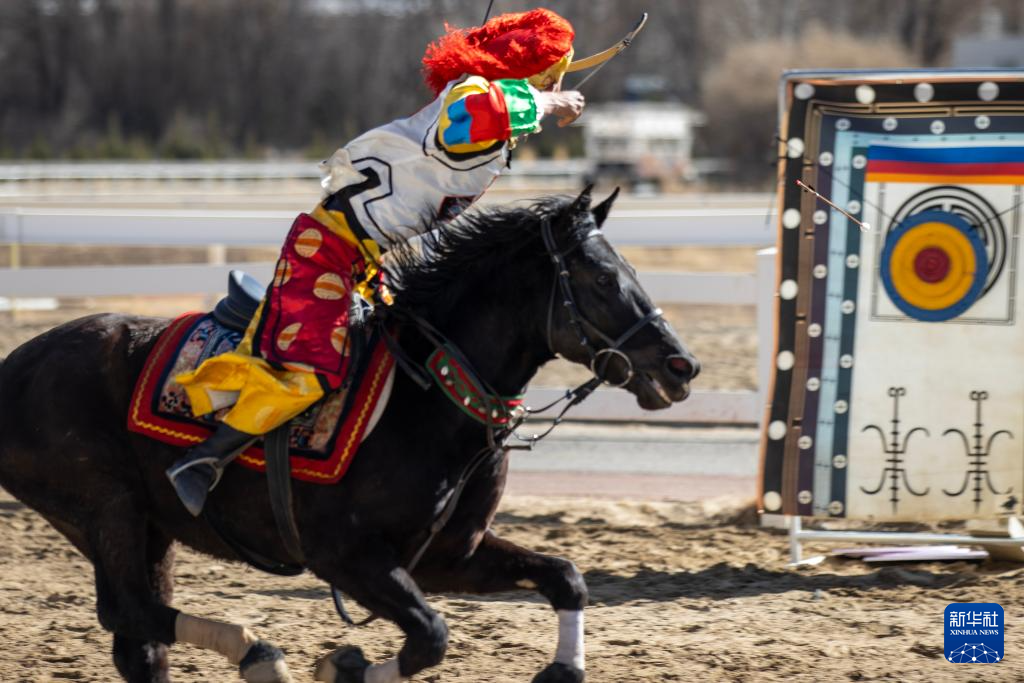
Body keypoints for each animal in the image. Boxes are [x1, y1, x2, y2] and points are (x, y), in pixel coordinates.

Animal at [0, 188, 696, 683]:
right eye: (602, 279)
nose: (680, 366)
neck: (428, 395)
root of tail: (17, 364)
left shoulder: (449, 554)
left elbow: (565, 576)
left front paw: (561, 669)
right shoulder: (345, 556)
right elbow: (431, 635)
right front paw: (344, 666)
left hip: (145, 524)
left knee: (137, 638)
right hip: (104, 507)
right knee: (130, 612)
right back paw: (257, 655)